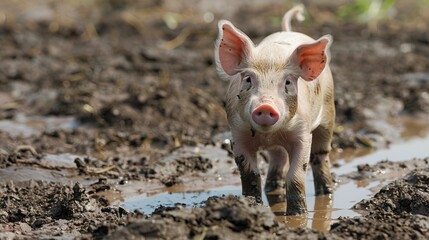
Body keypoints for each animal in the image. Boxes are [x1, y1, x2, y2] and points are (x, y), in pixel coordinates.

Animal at [214, 3, 334, 215]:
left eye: (287, 82)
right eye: (248, 79)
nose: (265, 105)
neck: (269, 134)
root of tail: (288, 30)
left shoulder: (303, 134)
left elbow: (296, 175)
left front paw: (297, 215)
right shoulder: (238, 134)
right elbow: (250, 174)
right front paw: (253, 205)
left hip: (328, 112)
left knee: (320, 156)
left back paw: (325, 193)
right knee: (278, 156)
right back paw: (272, 188)